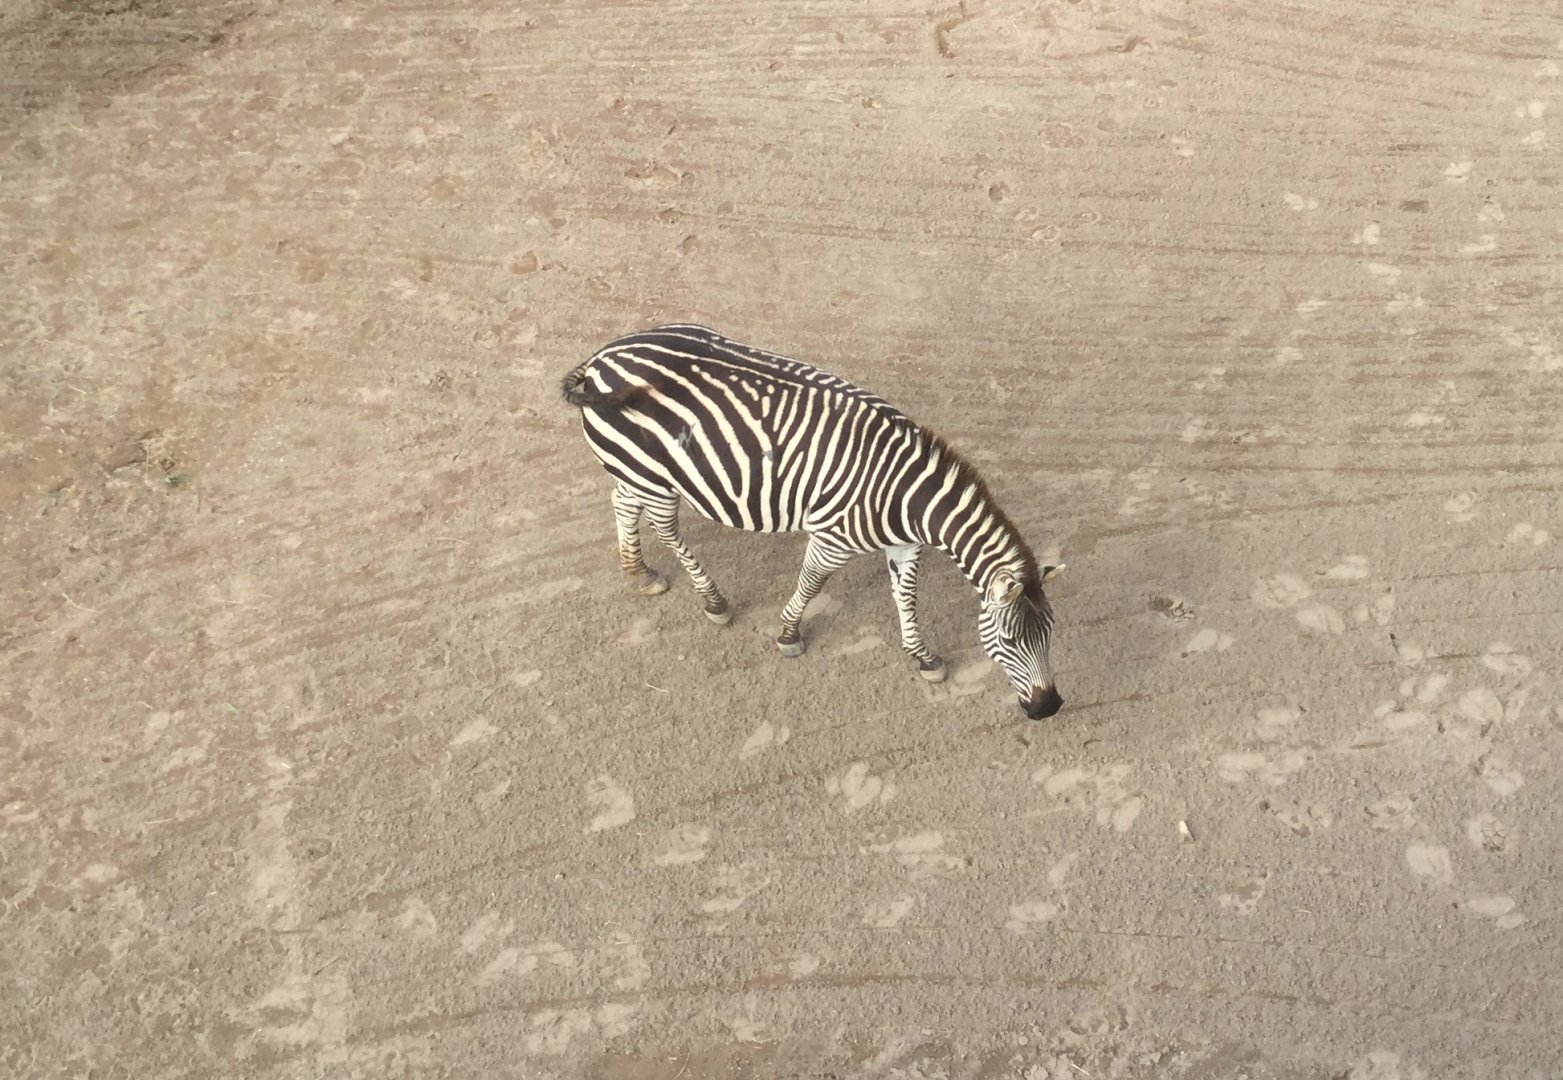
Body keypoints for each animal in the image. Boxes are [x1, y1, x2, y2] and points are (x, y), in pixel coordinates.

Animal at [561, 324, 1065, 720]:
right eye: (1010, 639)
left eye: (1049, 634)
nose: (1049, 708)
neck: (909, 496)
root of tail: (602, 358)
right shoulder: (833, 539)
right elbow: (811, 584)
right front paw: (788, 635)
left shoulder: (904, 545)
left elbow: (906, 599)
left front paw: (923, 657)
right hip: (655, 475)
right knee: (664, 526)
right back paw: (713, 600)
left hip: (636, 470)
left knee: (622, 502)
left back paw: (639, 572)